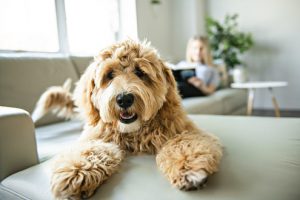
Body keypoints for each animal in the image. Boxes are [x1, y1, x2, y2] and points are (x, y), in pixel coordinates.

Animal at [33, 39, 223, 199]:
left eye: (140, 72)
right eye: (109, 75)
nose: (124, 99)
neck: (134, 132)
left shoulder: (185, 130)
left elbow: (183, 143)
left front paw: (188, 169)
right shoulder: (95, 137)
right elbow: (90, 150)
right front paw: (75, 173)